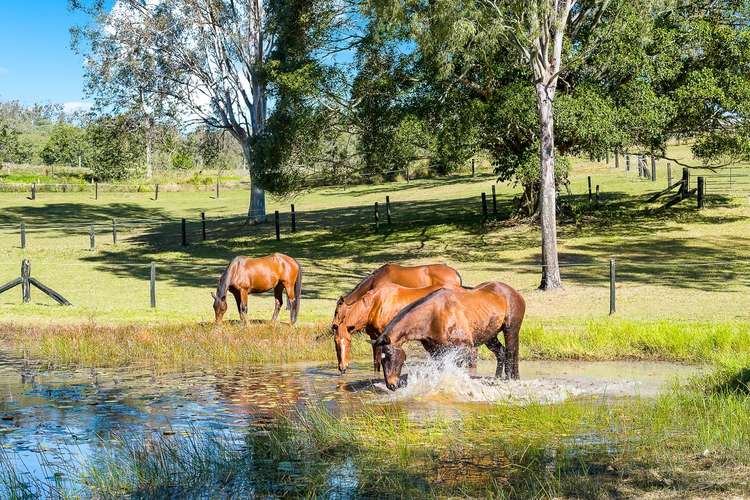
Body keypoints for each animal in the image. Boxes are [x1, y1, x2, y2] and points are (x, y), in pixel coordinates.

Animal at [374, 282, 524, 390]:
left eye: (390, 356)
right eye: (381, 359)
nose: (391, 385)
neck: (433, 316)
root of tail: (515, 293)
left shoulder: (463, 349)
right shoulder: (436, 351)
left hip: (510, 330)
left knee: (511, 353)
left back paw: (511, 378)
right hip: (490, 336)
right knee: (501, 353)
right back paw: (497, 378)